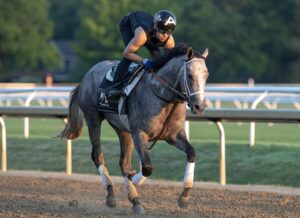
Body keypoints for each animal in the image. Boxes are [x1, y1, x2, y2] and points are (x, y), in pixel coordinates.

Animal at [58, 43, 209, 214]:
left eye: (206, 75)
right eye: (189, 75)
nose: (199, 106)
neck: (162, 96)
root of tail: (87, 75)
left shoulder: (174, 135)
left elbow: (192, 153)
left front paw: (184, 197)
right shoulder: (139, 134)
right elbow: (147, 167)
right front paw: (134, 178)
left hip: (123, 130)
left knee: (123, 162)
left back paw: (135, 201)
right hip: (93, 119)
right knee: (97, 155)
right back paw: (111, 193)